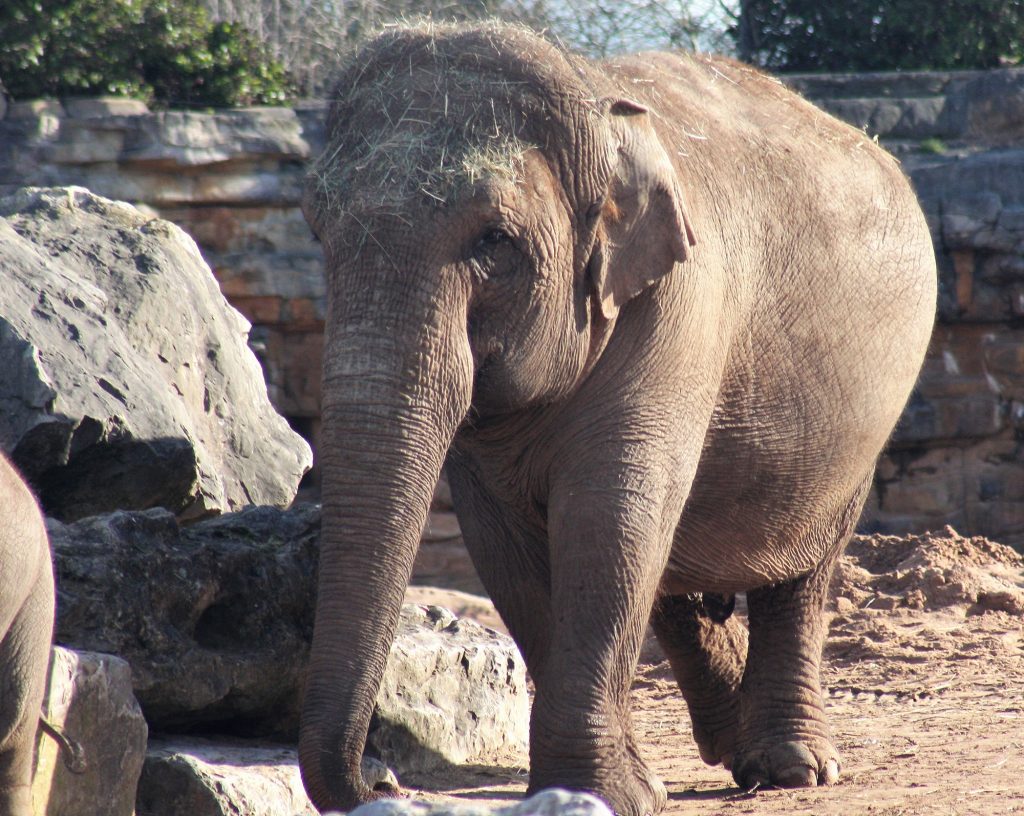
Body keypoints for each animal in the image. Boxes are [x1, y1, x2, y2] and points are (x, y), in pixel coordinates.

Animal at [296, 20, 937, 814]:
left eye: (494, 240)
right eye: (317, 230)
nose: (382, 776)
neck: (599, 113)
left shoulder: (678, 311)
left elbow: (607, 519)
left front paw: (598, 793)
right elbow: (507, 545)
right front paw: (620, 788)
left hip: (862, 431)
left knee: (801, 572)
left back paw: (791, 768)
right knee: (674, 566)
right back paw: (729, 739)